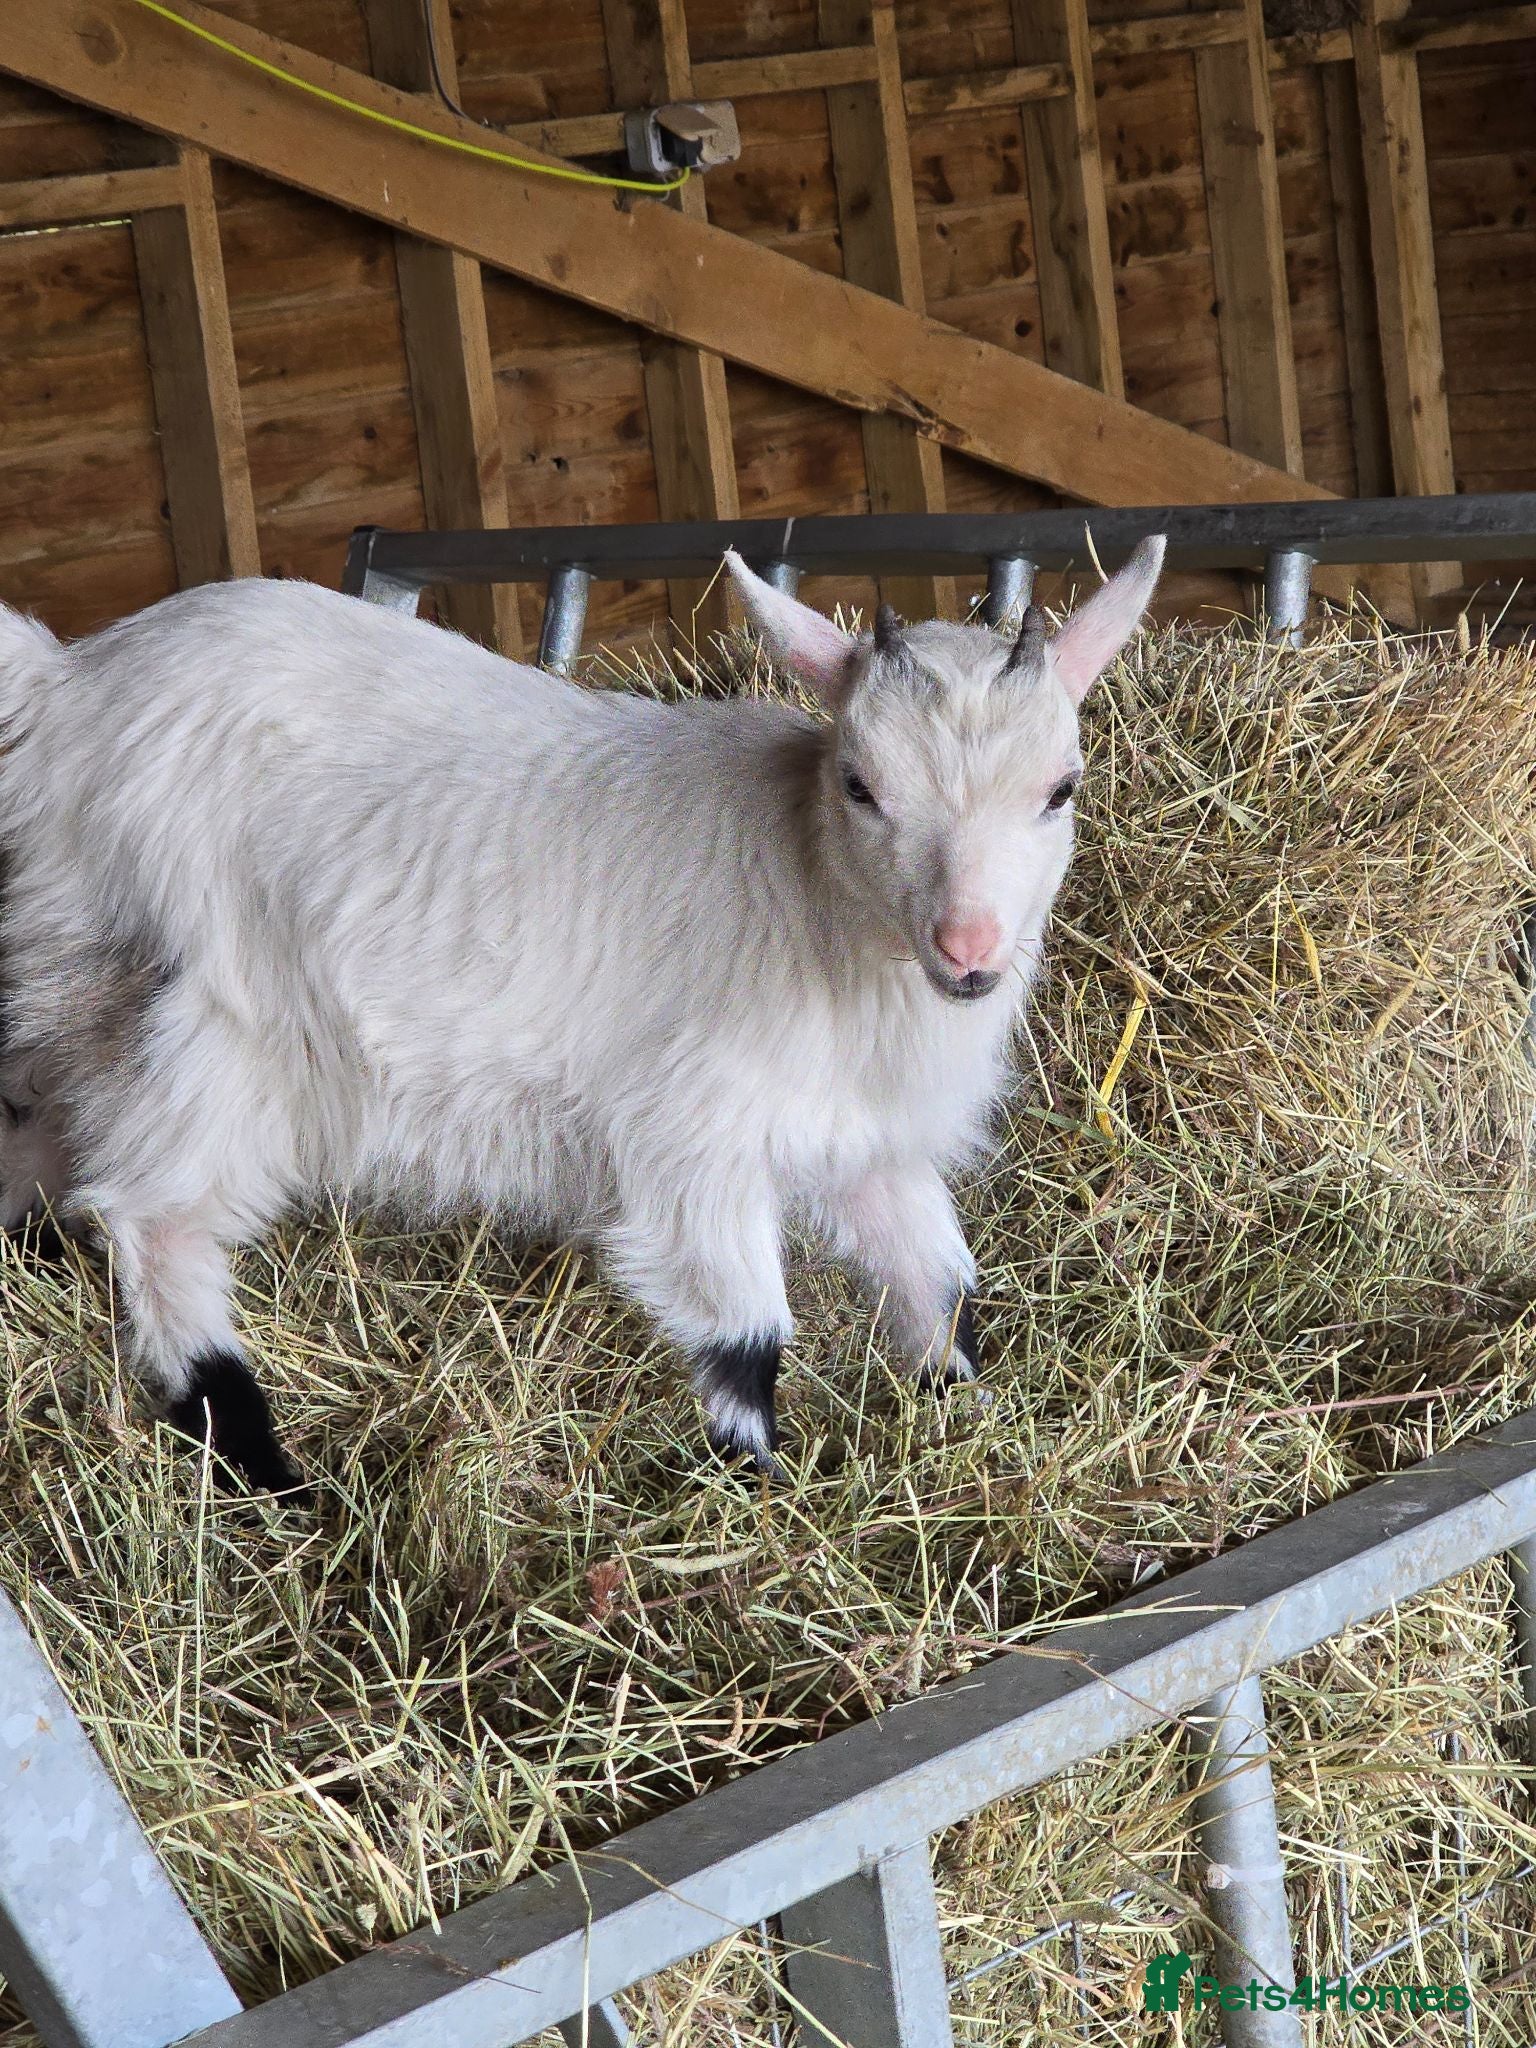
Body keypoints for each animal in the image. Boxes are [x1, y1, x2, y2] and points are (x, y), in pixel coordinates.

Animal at [0, 540, 1164, 1486]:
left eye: (1061, 787)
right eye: (860, 784)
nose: (969, 951)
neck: (815, 896)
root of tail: (66, 686)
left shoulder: (866, 1146)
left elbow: (940, 1290)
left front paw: (969, 1414)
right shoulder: (692, 1139)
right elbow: (746, 1337)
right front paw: (753, 1491)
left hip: (90, 986)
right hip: (207, 1017)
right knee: (158, 1218)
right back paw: (263, 1458)